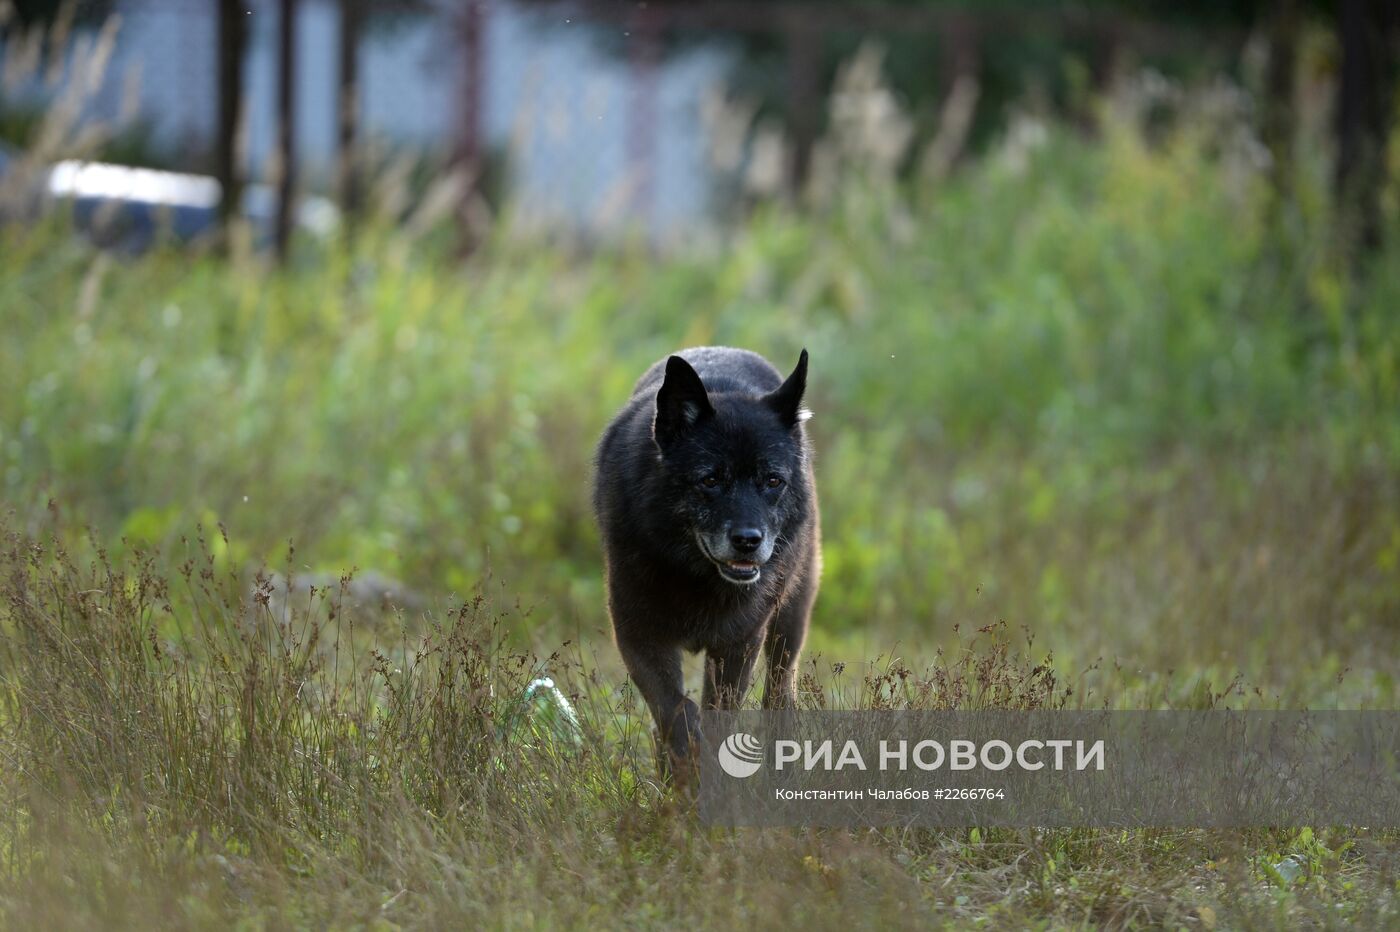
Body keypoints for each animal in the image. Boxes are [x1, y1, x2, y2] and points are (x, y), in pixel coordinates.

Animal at [590, 344, 817, 772]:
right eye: (710, 479)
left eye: (772, 480)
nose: (748, 541)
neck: (696, 577)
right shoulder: (638, 636)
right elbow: (675, 711)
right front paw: (684, 769)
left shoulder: (738, 645)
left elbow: (718, 718)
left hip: (789, 621)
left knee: (779, 691)